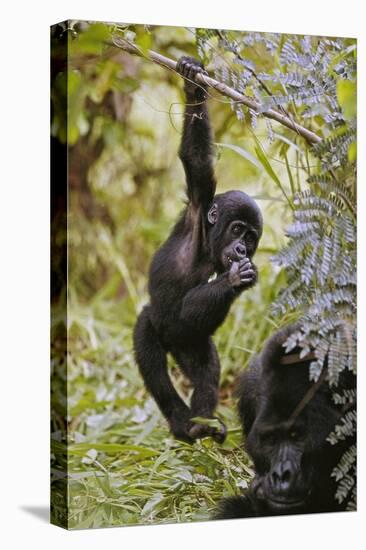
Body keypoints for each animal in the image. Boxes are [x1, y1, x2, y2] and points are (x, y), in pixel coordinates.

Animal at [133, 58, 262, 444]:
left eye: (252, 237)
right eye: (237, 229)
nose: (242, 248)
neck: (209, 244)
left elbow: (193, 311)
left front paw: (240, 277)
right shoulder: (198, 201)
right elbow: (197, 159)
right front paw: (193, 85)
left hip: (187, 344)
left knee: (206, 366)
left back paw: (203, 423)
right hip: (155, 326)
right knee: (153, 362)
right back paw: (181, 423)